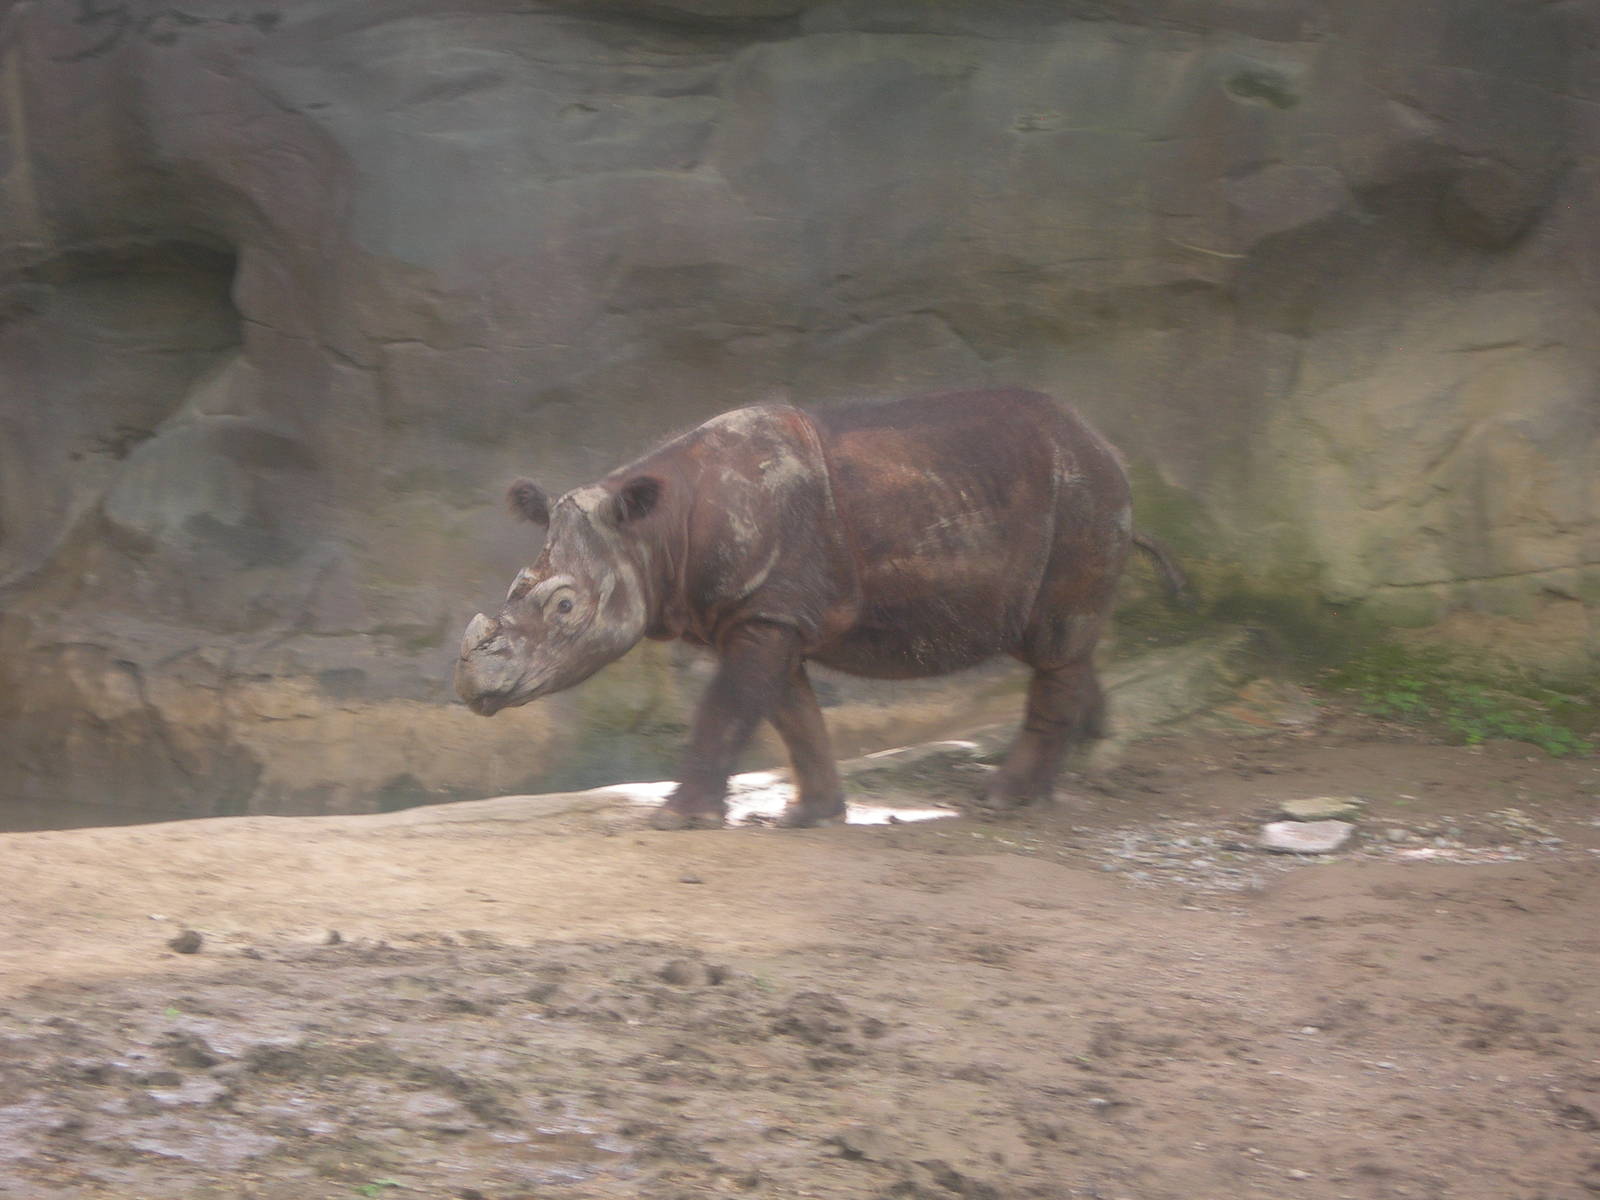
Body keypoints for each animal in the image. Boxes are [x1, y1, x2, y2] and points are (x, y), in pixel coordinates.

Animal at [455, 389, 1184, 829]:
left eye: (565, 606)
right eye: (516, 585)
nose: (473, 689)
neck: (654, 535)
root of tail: (1105, 445)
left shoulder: (765, 610)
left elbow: (728, 707)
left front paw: (677, 818)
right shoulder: (764, 612)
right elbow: (791, 713)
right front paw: (812, 815)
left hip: (1083, 496)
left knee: (1057, 644)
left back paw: (1005, 799)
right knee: (1064, 647)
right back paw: (1082, 756)